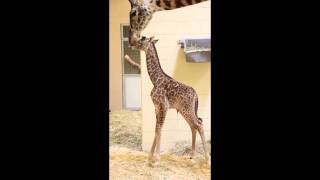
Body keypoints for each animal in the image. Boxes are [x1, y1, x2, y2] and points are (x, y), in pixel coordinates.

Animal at [134, 37, 211, 166]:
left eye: (142, 40)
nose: (133, 44)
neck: (155, 79)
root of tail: (196, 94)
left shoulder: (163, 107)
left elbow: (159, 129)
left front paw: (157, 160)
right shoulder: (156, 108)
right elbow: (156, 129)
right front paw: (150, 158)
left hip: (187, 110)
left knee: (199, 125)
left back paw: (207, 159)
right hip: (186, 111)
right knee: (194, 126)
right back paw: (192, 156)